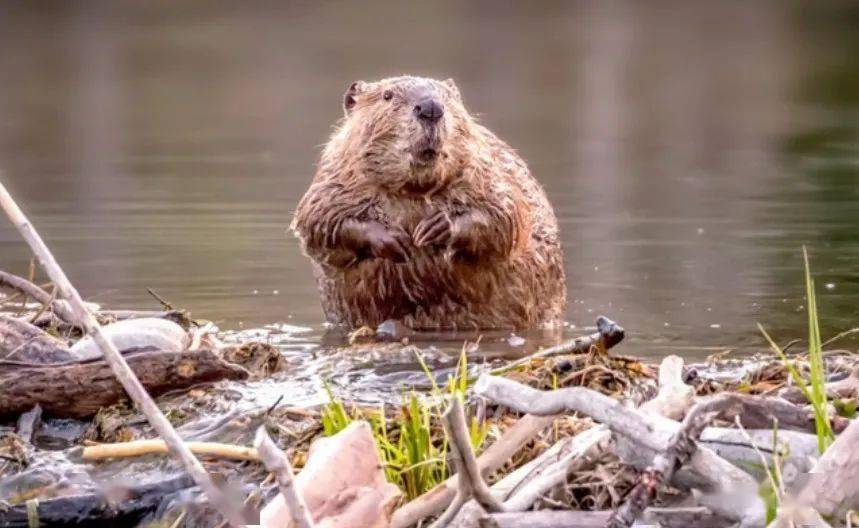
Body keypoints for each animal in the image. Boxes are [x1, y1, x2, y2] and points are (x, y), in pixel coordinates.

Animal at [292, 75, 568, 330]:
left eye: (447, 95)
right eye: (387, 96)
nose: (431, 107)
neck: (413, 190)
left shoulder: (488, 169)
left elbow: (505, 214)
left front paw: (435, 228)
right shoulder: (334, 178)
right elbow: (318, 222)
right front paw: (394, 239)